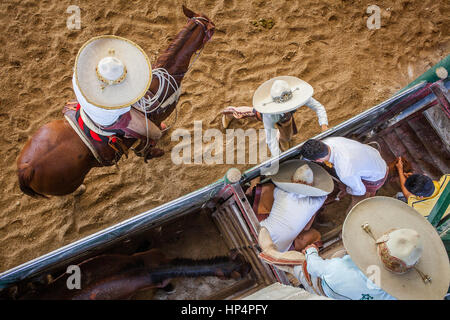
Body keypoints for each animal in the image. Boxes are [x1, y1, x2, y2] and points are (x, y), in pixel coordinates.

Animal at [16, 6, 215, 198]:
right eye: (211, 26)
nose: (217, 26)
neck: (162, 78)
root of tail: (26, 169)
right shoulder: (154, 122)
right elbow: (153, 137)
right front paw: (154, 150)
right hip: (69, 181)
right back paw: (80, 190)